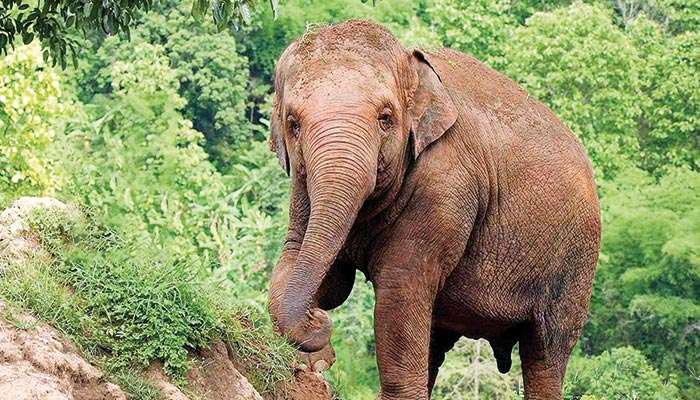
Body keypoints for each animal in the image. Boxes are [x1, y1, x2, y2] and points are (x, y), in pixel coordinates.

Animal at [267, 20, 601, 400]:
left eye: (386, 118)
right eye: (293, 123)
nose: (319, 321)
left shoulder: (447, 184)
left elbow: (400, 288)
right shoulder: (303, 185)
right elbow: (316, 269)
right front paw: (315, 358)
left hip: (575, 262)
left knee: (546, 350)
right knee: (435, 342)